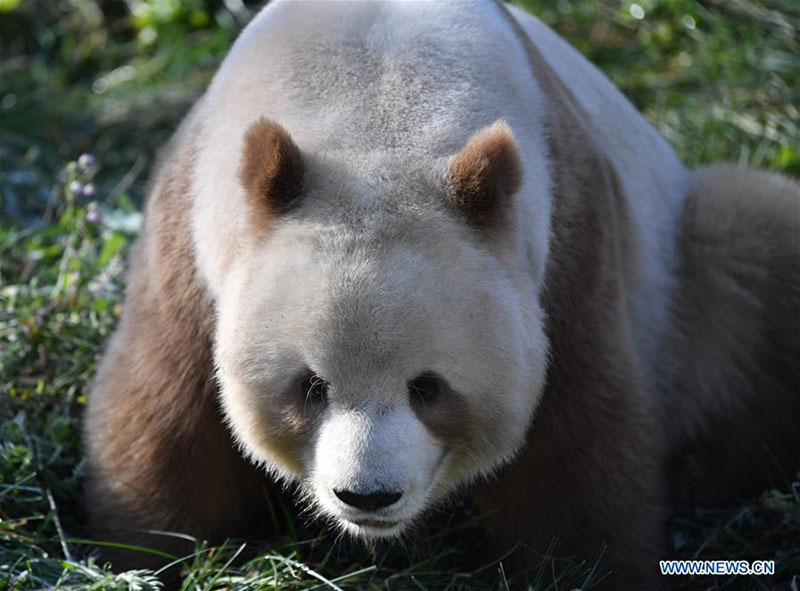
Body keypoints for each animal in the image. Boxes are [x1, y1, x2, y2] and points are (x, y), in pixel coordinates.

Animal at [84, 1, 800, 588]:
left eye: (428, 387)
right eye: (310, 388)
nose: (367, 497)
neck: (375, 110)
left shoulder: (565, 245)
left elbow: (577, 442)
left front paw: (584, 568)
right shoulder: (191, 235)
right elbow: (167, 418)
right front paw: (137, 556)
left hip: (682, 274)